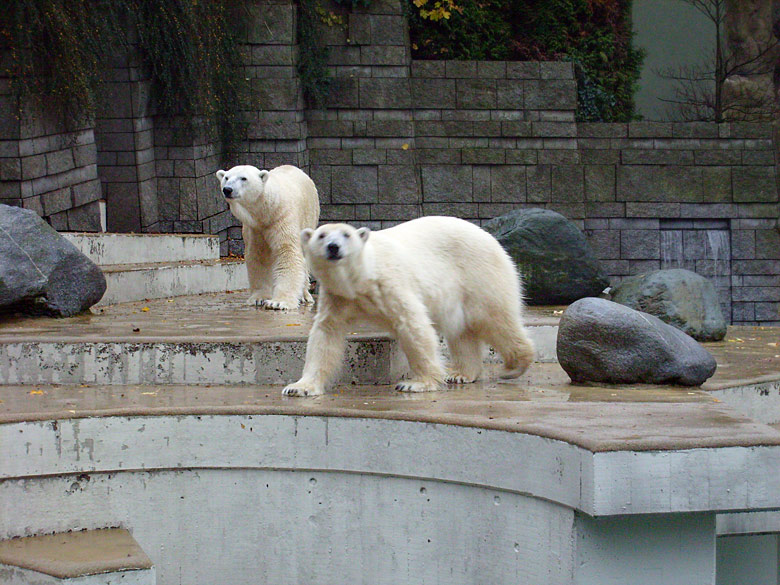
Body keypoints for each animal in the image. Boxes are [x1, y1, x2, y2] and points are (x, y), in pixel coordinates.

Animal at [215, 164, 318, 310]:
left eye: (243, 178)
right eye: (226, 178)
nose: (227, 189)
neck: (267, 211)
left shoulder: (282, 217)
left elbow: (288, 252)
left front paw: (279, 302)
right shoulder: (255, 228)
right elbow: (260, 256)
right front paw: (259, 298)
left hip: (309, 216)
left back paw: (304, 295)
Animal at [284, 216, 536, 396]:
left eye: (346, 234)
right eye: (321, 235)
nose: (333, 247)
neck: (360, 279)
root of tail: (490, 237)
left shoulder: (389, 284)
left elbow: (413, 325)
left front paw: (416, 383)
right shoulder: (337, 297)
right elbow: (325, 335)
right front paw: (299, 387)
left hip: (478, 274)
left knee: (494, 318)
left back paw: (515, 365)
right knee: (462, 331)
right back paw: (461, 373)